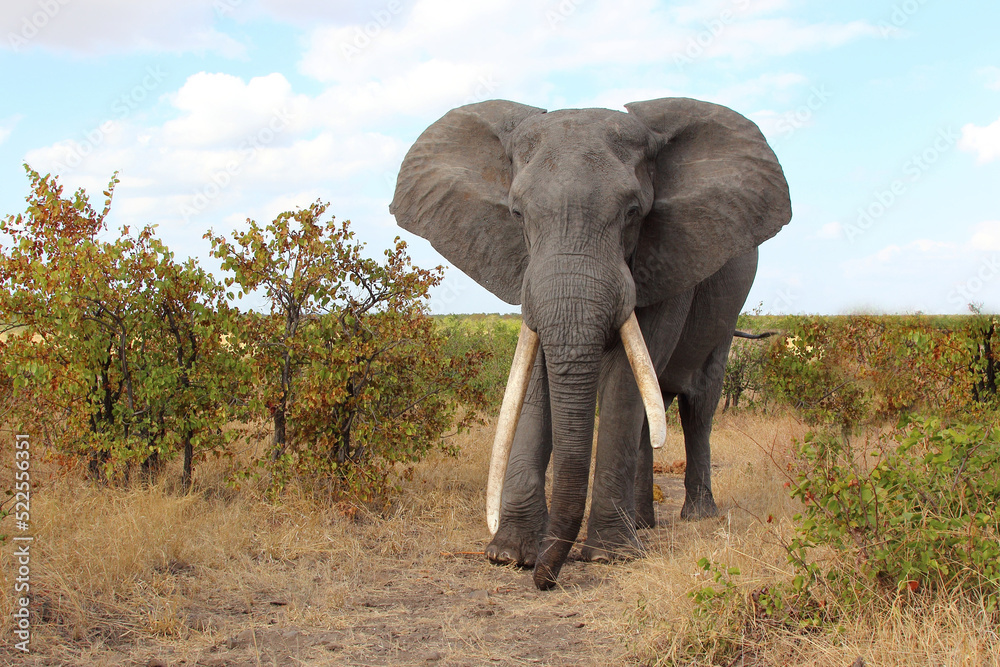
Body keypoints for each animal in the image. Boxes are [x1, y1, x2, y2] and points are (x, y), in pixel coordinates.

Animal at [390, 97, 791, 590]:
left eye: (634, 213)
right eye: (517, 214)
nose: (544, 580)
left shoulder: (671, 255)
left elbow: (626, 379)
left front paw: (608, 556)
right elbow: (539, 368)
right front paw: (509, 554)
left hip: (725, 313)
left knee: (698, 406)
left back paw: (694, 517)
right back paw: (642, 524)